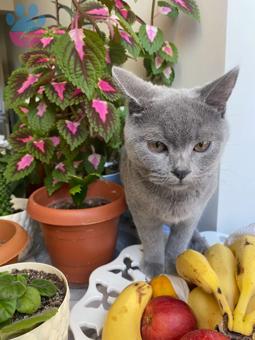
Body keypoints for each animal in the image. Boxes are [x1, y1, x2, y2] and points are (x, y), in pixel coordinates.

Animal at [112, 66, 238, 278]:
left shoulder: (193, 212)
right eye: (156, 146)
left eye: (202, 145)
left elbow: (179, 240)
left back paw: (199, 242)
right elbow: (151, 238)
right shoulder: (141, 210)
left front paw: (174, 265)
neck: (174, 200)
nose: (181, 170)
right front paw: (155, 267)